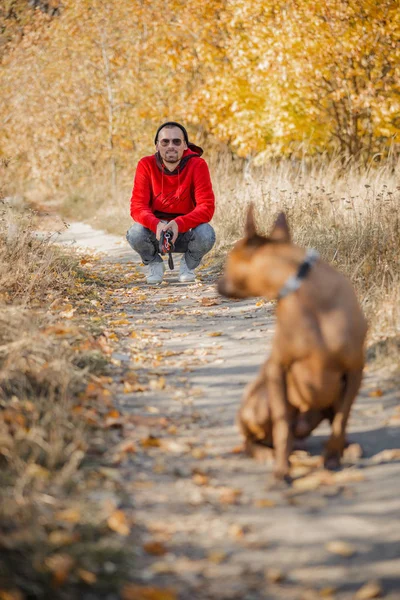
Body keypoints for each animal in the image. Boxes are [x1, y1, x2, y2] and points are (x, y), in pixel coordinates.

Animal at [217, 204, 368, 480]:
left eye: (228, 262)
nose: (218, 284)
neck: (306, 292)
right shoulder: (278, 370)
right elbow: (282, 427)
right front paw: (282, 469)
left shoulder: (354, 371)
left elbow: (341, 421)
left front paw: (331, 459)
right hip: (261, 400)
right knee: (254, 441)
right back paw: (266, 453)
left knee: (333, 425)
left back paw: (346, 447)